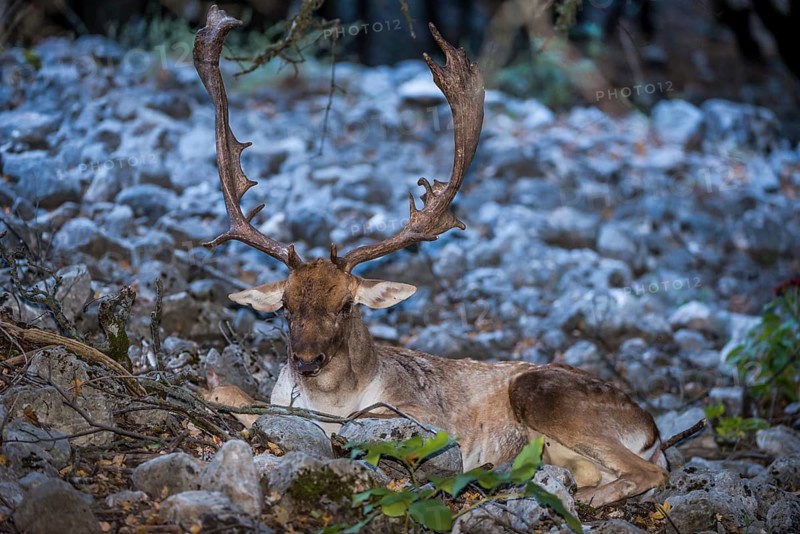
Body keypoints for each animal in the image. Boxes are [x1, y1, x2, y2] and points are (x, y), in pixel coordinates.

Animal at [193, 5, 668, 507]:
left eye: (347, 305)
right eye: (285, 305)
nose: (305, 361)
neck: (331, 400)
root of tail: (653, 432)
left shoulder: (428, 418)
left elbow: (360, 424)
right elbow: (236, 396)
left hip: (546, 392)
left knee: (649, 471)